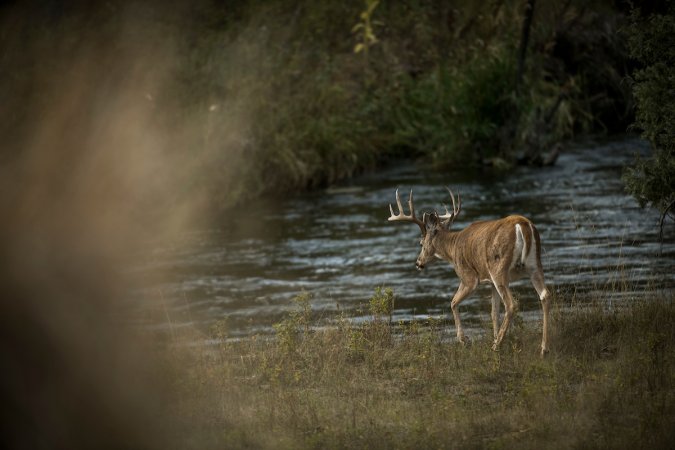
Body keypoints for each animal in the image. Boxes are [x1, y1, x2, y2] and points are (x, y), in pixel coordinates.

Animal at [388, 186, 552, 356]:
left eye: (421, 242)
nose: (418, 263)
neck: (452, 248)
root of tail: (523, 224)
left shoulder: (468, 277)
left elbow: (453, 302)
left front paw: (463, 340)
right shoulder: (490, 282)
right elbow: (493, 312)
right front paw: (494, 337)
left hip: (499, 268)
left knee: (511, 304)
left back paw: (496, 346)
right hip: (534, 264)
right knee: (545, 295)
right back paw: (543, 349)